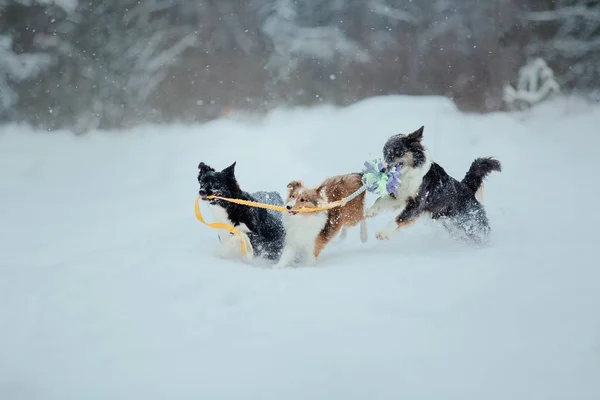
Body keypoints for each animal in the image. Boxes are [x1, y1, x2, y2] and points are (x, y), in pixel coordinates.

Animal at [366, 126, 502, 244]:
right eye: (384, 154)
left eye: (397, 152)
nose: (381, 170)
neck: (409, 174)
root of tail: (468, 188)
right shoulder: (400, 197)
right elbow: (379, 201)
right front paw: (369, 211)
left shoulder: (416, 204)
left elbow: (398, 219)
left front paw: (383, 233)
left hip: (472, 224)